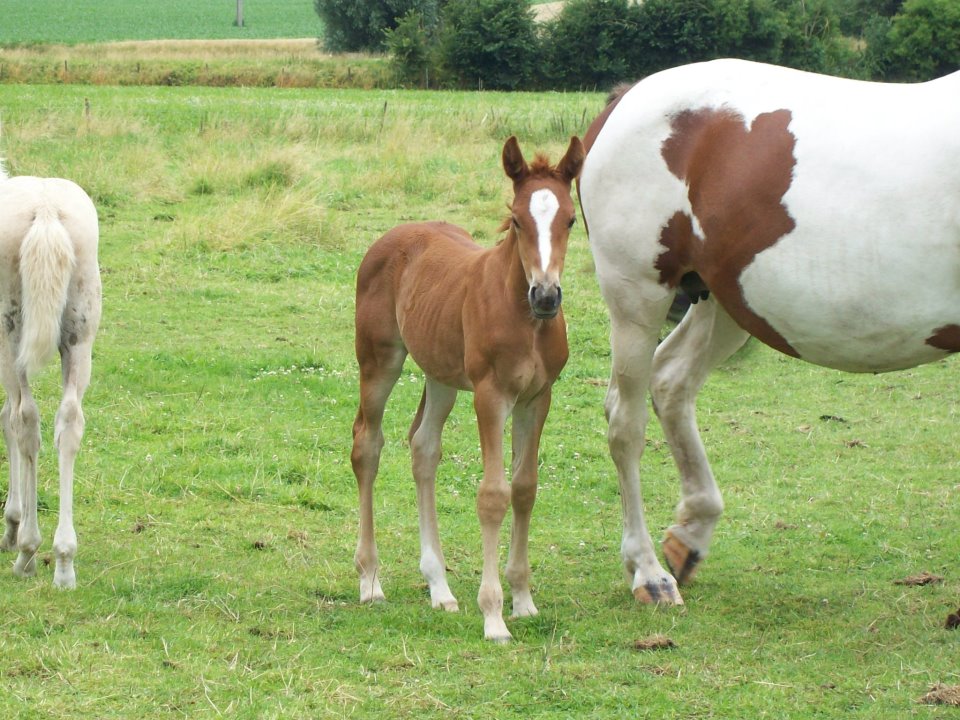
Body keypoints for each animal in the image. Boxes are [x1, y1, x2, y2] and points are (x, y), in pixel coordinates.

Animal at [348, 136, 580, 640]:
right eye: (517, 218)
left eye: (571, 219)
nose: (546, 295)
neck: (525, 317)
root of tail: (393, 235)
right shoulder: (492, 396)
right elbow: (493, 495)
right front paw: (493, 615)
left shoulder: (538, 398)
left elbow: (525, 488)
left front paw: (523, 600)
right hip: (379, 361)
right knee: (367, 445)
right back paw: (370, 580)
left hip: (441, 377)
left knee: (423, 448)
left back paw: (440, 588)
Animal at [576, 59, 960, 604]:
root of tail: (627, 99)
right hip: (638, 300)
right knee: (625, 424)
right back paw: (648, 570)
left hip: (726, 303)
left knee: (671, 381)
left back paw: (689, 536)